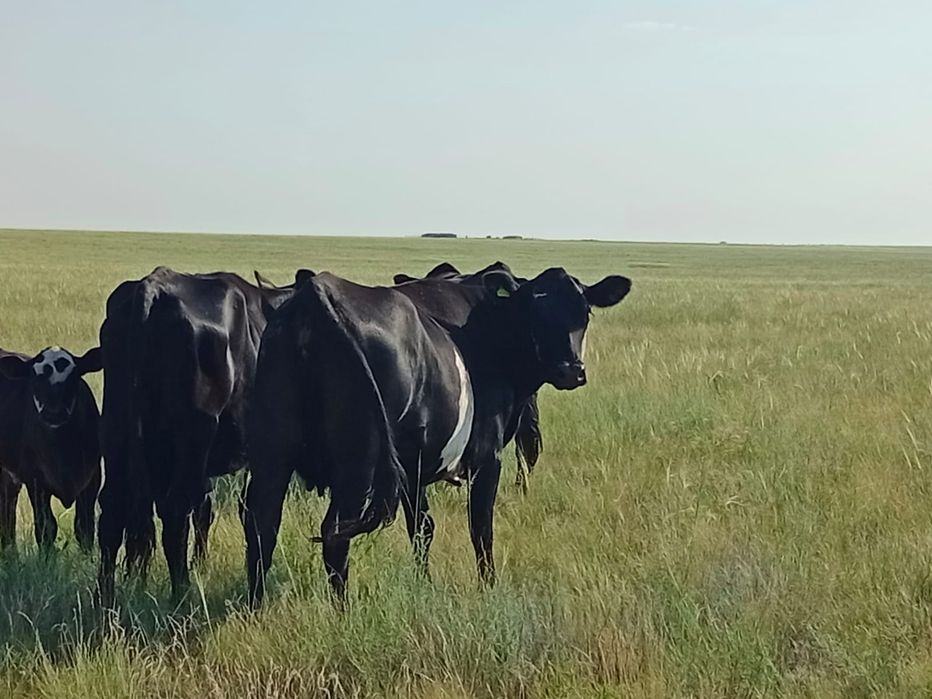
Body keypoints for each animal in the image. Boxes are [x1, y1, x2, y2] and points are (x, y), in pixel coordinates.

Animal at [0, 346, 102, 551]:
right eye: (34, 379)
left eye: (74, 377)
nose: (54, 413)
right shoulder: (35, 481)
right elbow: (46, 527)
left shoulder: (92, 478)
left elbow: (85, 527)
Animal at [96, 267, 296, 606]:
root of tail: (153, 287)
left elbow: (206, 507)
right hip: (194, 436)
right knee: (175, 513)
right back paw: (182, 594)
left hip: (117, 430)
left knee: (113, 511)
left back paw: (105, 599)